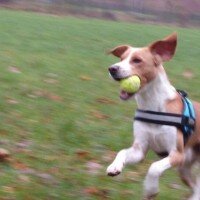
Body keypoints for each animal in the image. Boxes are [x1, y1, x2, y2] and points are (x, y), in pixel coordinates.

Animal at [106, 33, 200, 199]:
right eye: (121, 58)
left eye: (137, 60)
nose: (112, 68)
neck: (152, 105)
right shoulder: (139, 150)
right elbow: (122, 151)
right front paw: (114, 166)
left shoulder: (177, 154)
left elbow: (154, 167)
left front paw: (150, 188)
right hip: (184, 169)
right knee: (196, 186)